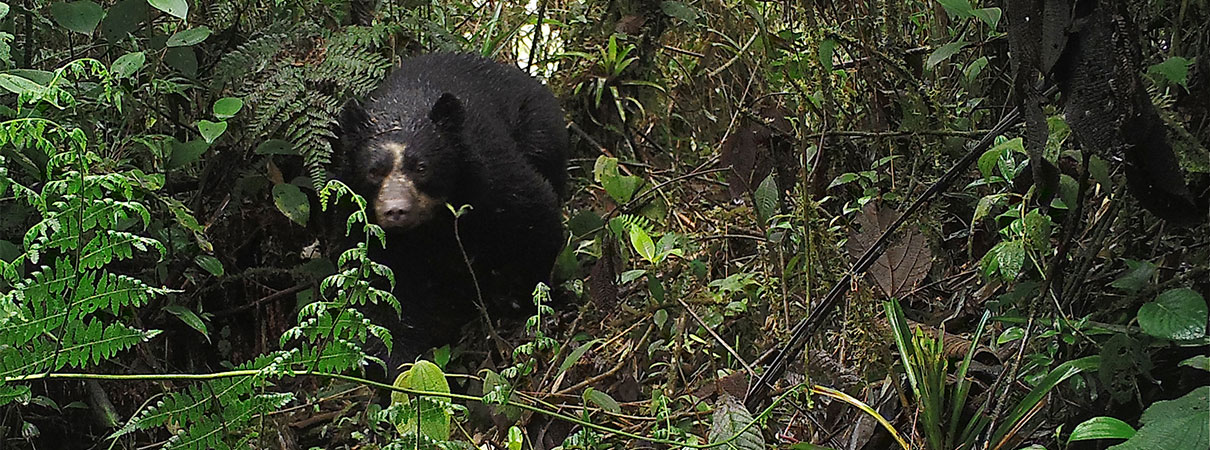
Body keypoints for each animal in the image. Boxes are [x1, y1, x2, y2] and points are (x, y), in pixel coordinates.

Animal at [338, 52, 568, 372]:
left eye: (421, 167)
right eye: (374, 171)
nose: (396, 211)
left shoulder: (488, 176)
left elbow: (533, 215)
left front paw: (520, 301)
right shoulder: (370, 229)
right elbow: (383, 293)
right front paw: (400, 368)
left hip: (539, 128)